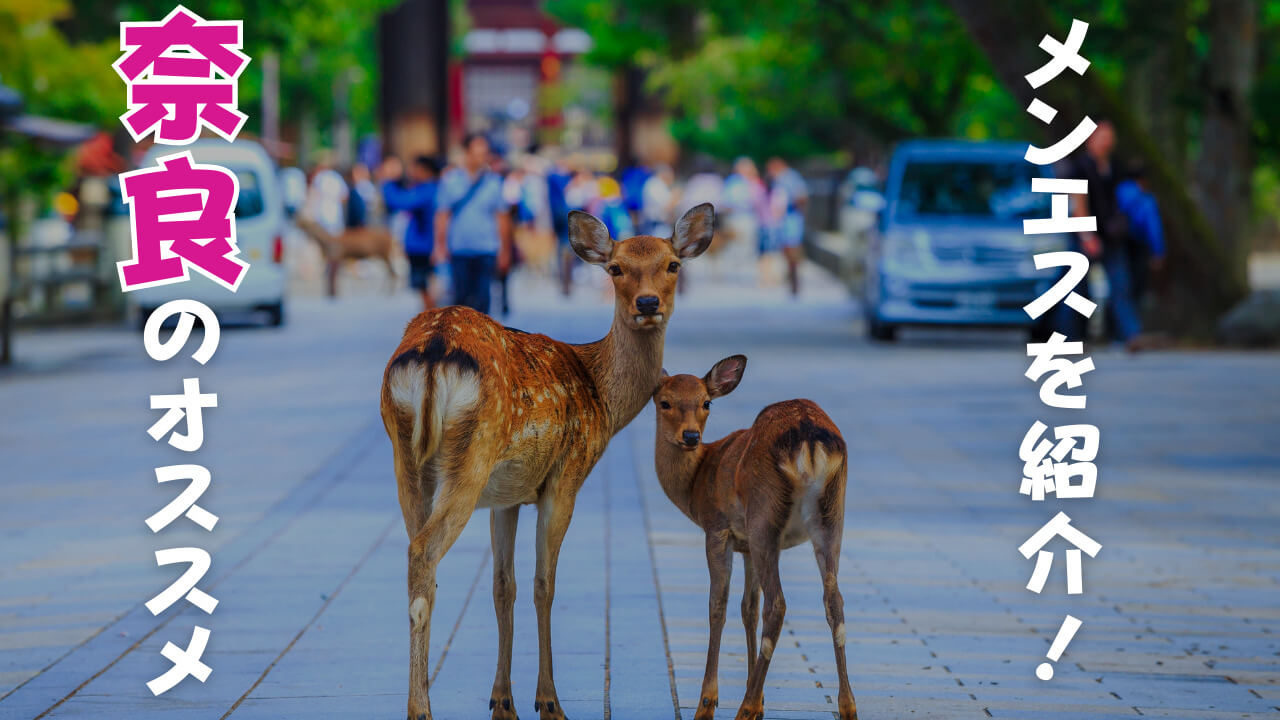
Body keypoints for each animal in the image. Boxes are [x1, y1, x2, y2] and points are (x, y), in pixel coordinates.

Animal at [378, 202, 721, 717]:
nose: (646, 304)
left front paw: (503, 701)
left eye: (672, 264)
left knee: (418, 556)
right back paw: (421, 708)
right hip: (471, 456)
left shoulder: (506, 495)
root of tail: (434, 351)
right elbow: (545, 584)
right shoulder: (565, 477)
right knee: (424, 552)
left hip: (408, 461)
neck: (602, 398)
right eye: (616, 268)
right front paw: (549, 701)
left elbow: (504, 585)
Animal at [650, 356, 860, 717]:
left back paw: (743, 709)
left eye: (706, 402)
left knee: (778, 605)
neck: (697, 483)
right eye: (665, 402)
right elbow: (748, 606)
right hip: (832, 516)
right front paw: (761, 703)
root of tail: (809, 437)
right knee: (834, 600)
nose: (690, 436)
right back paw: (847, 708)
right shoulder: (745, 545)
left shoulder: (717, 528)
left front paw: (708, 704)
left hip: (765, 515)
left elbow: (718, 605)